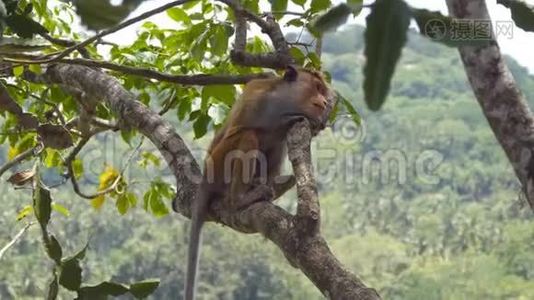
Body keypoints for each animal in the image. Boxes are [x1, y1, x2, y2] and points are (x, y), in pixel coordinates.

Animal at [184, 65, 330, 300]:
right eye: (316, 88)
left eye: (323, 91)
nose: (325, 102)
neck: (281, 103)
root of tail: (206, 176)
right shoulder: (257, 99)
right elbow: (243, 128)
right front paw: (292, 119)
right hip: (219, 165)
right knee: (248, 137)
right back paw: (241, 198)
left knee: (276, 147)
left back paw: (273, 186)